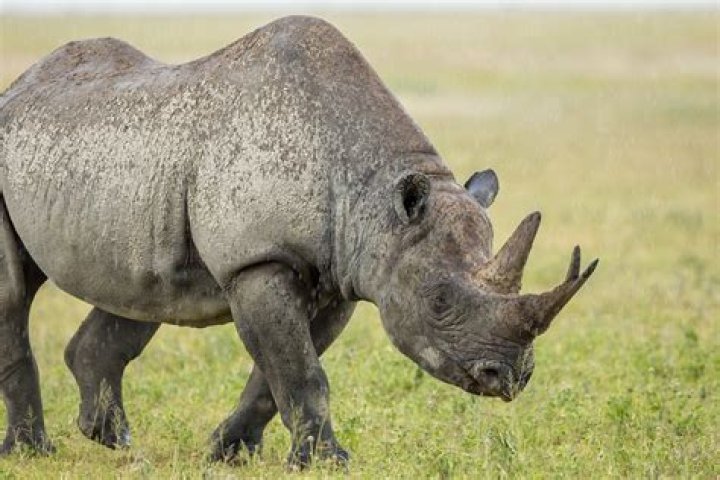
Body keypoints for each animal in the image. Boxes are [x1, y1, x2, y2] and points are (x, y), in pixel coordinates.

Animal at [0, 15, 597, 466]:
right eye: (439, 302)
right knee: (15, 295)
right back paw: (34, 452)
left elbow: (278, 372)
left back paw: (113, 439)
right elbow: (301, 369)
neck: (375, 197)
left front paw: (229, 454)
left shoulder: (340, 275)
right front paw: (329, 462)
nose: (510, 378)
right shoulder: (258, 262)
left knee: (142, 291)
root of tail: (19, 87)